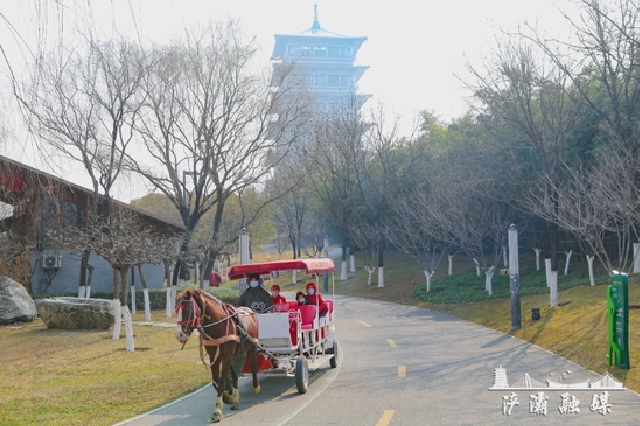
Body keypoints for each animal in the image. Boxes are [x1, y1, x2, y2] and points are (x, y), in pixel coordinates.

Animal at [174, 288, 262, 422]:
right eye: (177, 310)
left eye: (188, 310)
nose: (179, 334)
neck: (218, 325)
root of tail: (249, 311)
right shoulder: (214, 356)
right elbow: (216, 380)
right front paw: (228, 398)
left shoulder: (227, 356)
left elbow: (221, 382)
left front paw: (217, 411)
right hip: (235, 354)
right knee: (234, 374)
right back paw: (235, 399)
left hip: (252, 346)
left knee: (253, 366)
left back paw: (256, 387)